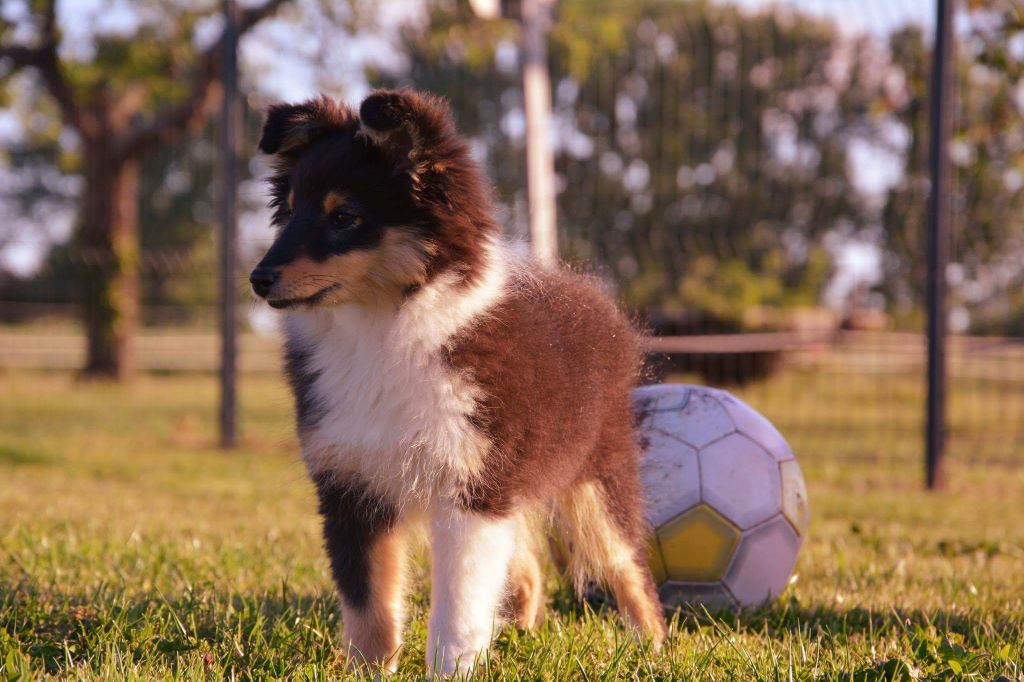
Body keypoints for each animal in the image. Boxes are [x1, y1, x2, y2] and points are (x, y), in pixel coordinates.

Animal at [247, 91, 663, 675]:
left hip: (595, 474)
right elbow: (368, 604)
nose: (257, 279)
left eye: (344, 216)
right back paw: (527, 630)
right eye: (289, 211)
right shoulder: (351, 484)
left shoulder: (473, 486)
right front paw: (369, 671)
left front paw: (451, 669)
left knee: (626, 562)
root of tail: (598, 304)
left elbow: (459, 606)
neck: (382, 329)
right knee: (526, 563)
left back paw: (653, 646)